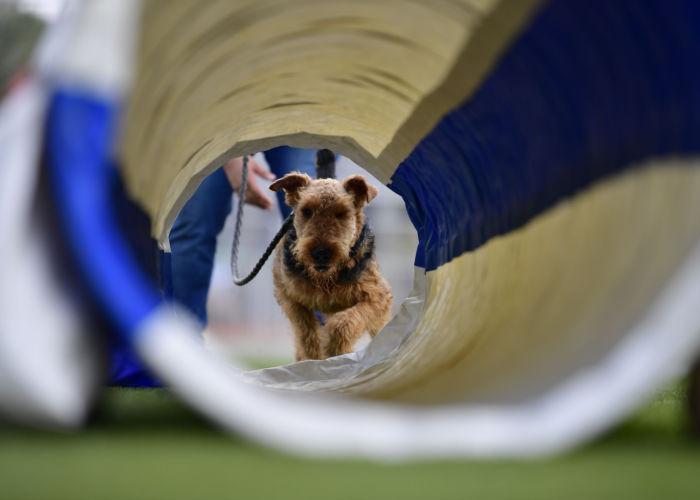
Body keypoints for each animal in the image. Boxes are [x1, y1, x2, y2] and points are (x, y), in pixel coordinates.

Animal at [270, 172, 394, 360]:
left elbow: (342, 325)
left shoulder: (377, 295)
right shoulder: (289, 296)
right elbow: (307, 334)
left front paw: (340, 351)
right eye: (307, 211)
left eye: (341, 213)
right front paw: (314, 357)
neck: (326, 279)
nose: (321, 253)